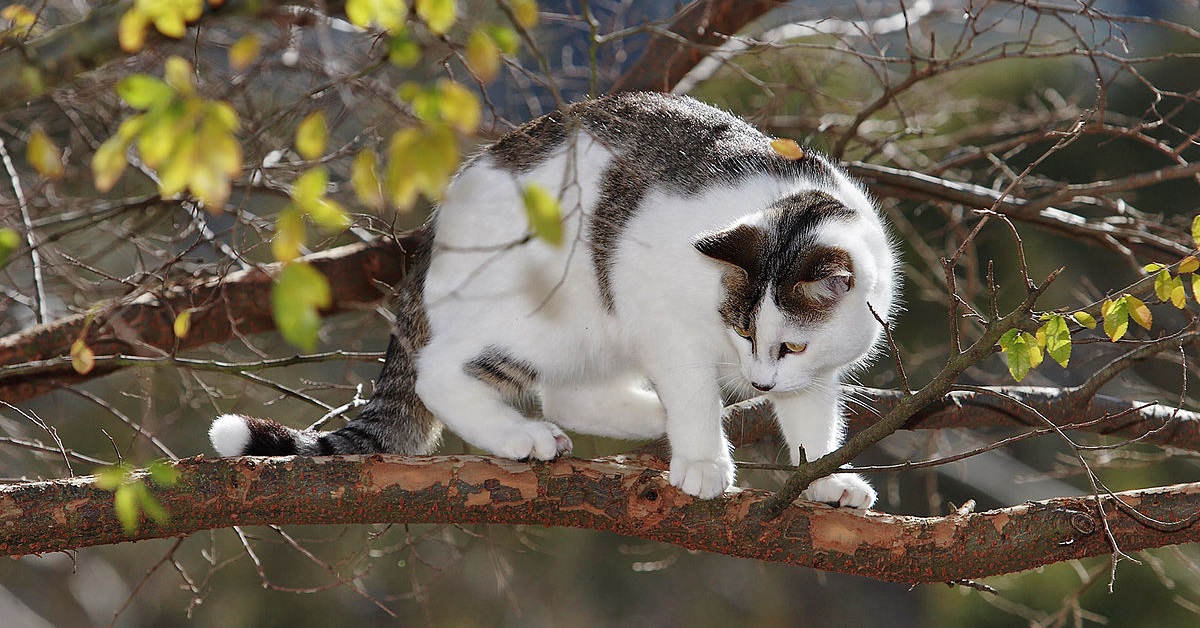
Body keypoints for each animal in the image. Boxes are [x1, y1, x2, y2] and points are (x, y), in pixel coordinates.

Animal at [211, 90, 897, 509]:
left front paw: (825, 480)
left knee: (568, 394)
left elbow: (812, 423)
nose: (759, 382)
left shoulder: (812, 375)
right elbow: (693, 391)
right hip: (553, 313)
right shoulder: (662, 318)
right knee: (443, 374)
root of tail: (433, 235)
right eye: (743, 329)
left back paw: (651, 418)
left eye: (791, 345)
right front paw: (704, 461)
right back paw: (525, 436)